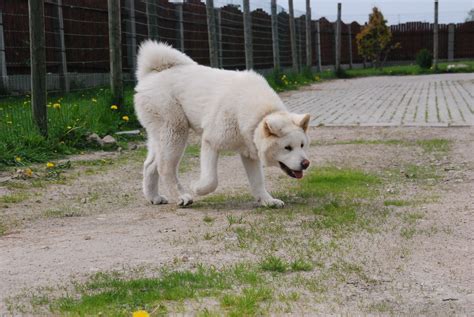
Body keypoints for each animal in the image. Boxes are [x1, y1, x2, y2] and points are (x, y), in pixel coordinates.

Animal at [133, 41, 312, 207]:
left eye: (302, 145)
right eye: (287, 147)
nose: (306, 164)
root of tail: (152, 73)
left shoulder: (249, 153)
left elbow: (258, 182)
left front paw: (268, 201)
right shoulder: (210, 142)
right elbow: (211, 180)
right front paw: (197, 188)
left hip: (161, 135)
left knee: (150, 165)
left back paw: (154, 197)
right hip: (175, 131)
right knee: (165, 167)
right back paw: (182, 196)